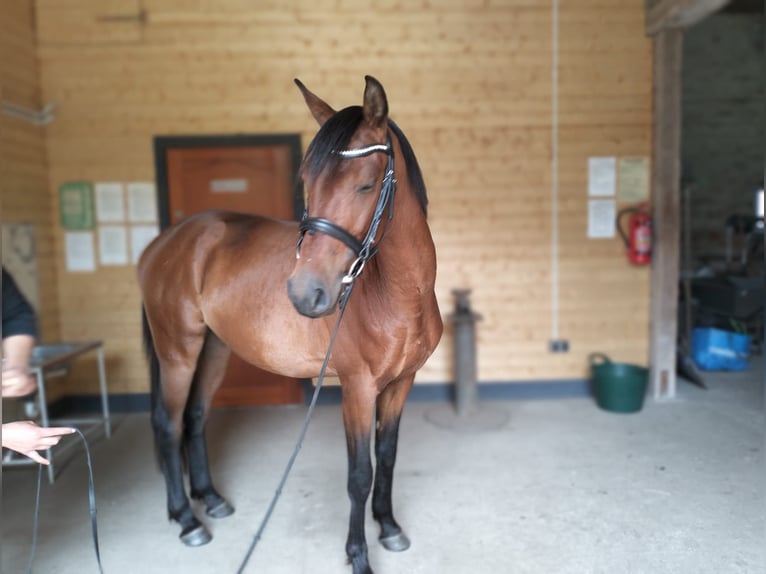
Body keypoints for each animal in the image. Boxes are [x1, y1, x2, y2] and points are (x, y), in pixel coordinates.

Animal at [138, 77, 444, 574]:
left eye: (366, 184)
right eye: (308, 183)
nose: (305, 293)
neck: (396, 294)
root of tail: (165, 241)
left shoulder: (402, 383)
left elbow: (387, 457)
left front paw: (389, 527)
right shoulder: (358, 389)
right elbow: (359, 474)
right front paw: (358, 556)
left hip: (214, 349)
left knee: (195, 417)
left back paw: (211, 499)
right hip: (177, 351)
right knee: (167, 423)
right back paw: (187, 520)